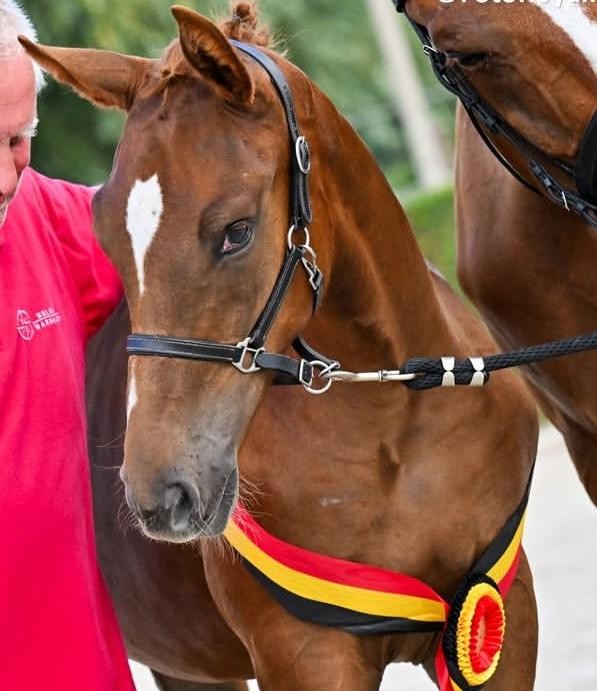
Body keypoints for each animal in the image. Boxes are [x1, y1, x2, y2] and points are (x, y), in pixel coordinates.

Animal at [23, 4, 538, 690]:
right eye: (104, 238)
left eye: (237, 232)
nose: (161, 494)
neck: (399, 420)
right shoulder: (306, 653)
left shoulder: (500, 617)